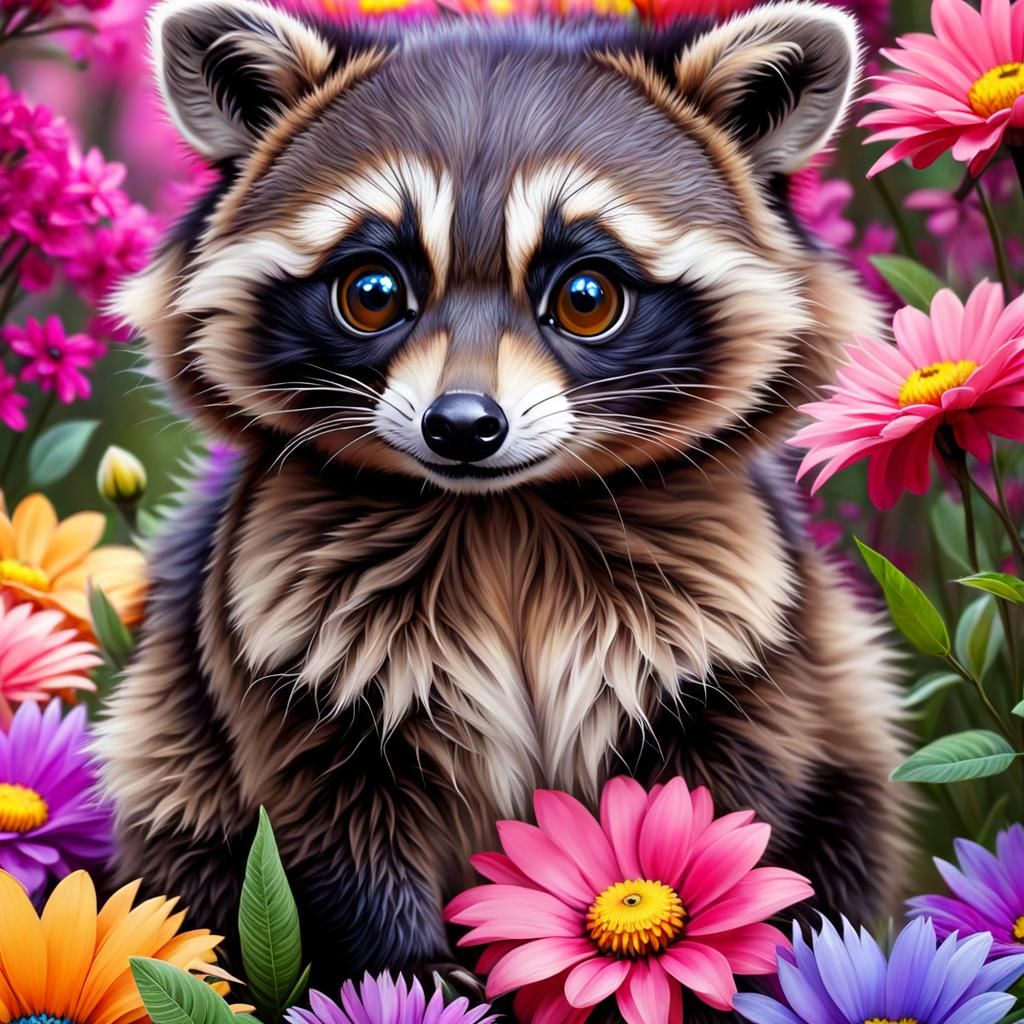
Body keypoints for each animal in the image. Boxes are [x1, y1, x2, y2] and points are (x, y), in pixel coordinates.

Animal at [97, 0, 906, 1014]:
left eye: (587, 296)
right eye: (372, 292)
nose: (462, 426)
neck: (504, 515)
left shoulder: (740, 608)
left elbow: (724, 803)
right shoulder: (275, 603)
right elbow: (319, 816)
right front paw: (402, 968)